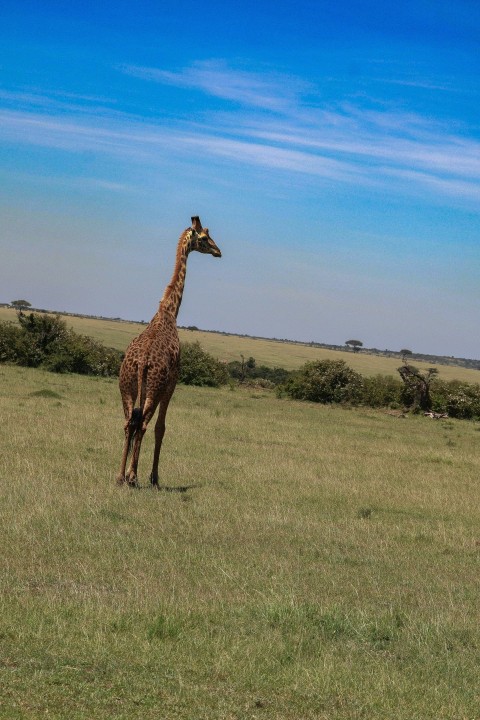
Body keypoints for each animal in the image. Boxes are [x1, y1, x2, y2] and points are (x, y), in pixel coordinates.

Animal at [116, 216, 222, 487]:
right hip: (154, 388)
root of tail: (141, 362)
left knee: (128, 423)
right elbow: (161, 428)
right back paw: (133, 477)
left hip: (127, 387)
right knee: (143, 424)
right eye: (204, 237)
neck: (168, 312)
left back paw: (120, 476)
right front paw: (153, 477)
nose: (218, 251)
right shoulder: (172, 383)